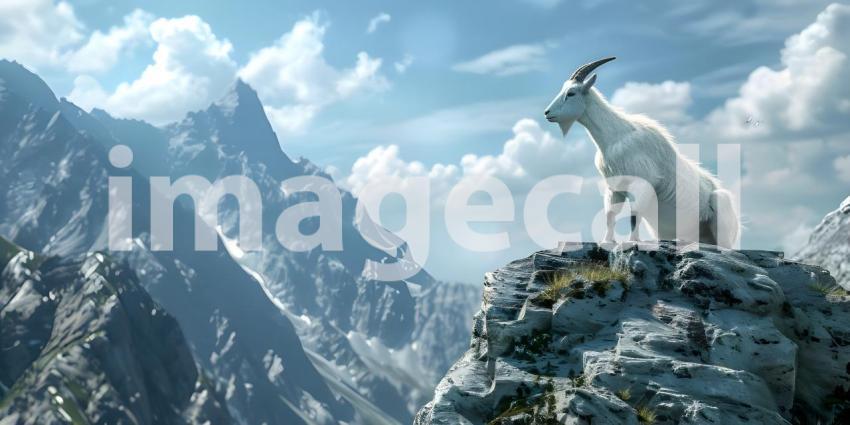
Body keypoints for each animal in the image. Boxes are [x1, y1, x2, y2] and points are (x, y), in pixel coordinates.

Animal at [543, 57, 739, 247]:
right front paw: (607, 241)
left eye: (571, 93)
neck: (616, 136)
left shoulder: (642, 183)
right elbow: (610, 215)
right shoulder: (614, 188)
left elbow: (634, 214)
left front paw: (632, 241)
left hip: (721, 209)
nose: (547, 113)